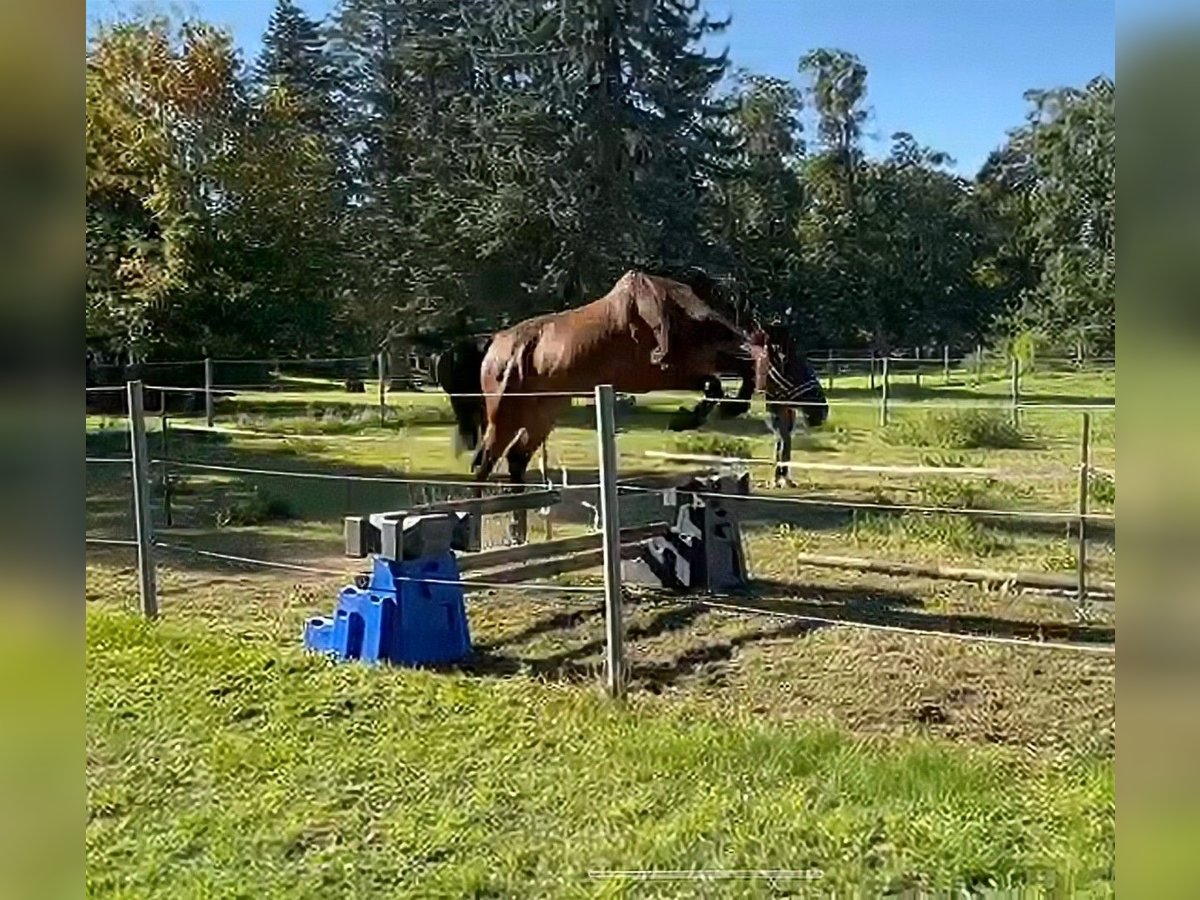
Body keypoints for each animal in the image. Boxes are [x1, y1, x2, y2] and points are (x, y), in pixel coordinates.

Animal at [433, 268, 800, 541]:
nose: (793, 395)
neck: (679, 317)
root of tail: (495, 344)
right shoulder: (665, 370)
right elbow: (716, 383)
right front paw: (692, 416)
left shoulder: (686, 369)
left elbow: (720, 381)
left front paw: (706, 412)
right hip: (506, 414)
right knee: (484, 463)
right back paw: (476, 528)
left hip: (542, 414)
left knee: (515, 459)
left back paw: (517, 531)